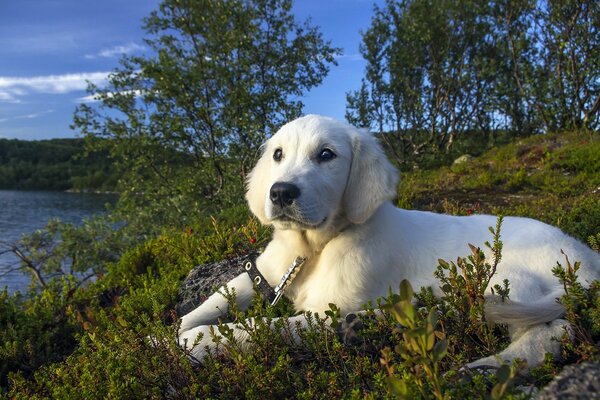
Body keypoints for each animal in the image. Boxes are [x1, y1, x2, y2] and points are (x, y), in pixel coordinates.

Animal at [179, 115, 600, 368]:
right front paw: (177, 329)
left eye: (326, 155)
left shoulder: (325, 311)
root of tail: (587, 260)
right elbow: (217, 297)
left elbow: (262, 326)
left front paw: (195, 342)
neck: (313, 247)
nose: (280, 192)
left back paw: (485, 369)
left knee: (550, 332)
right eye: (278, 154)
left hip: (506, 281)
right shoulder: (264, 273)